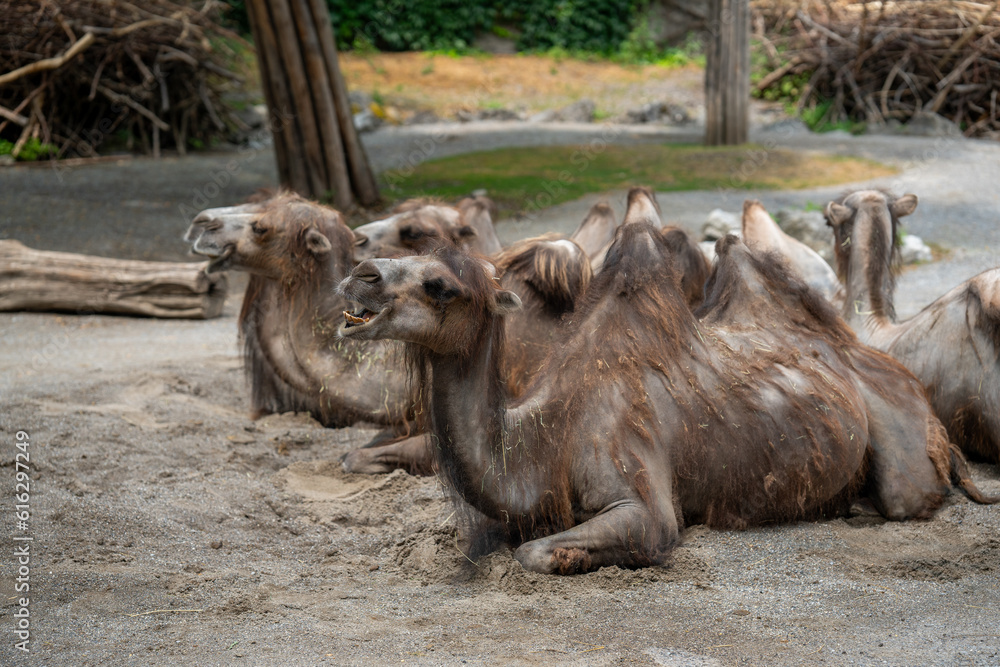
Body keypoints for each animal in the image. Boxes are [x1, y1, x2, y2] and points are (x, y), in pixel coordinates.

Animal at [337, 202, 987, 573]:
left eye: (440, 285)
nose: (359, 275)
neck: (546, 440)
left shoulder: (640, 495)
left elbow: (540, 552)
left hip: (902, 436)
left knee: (907, 492)